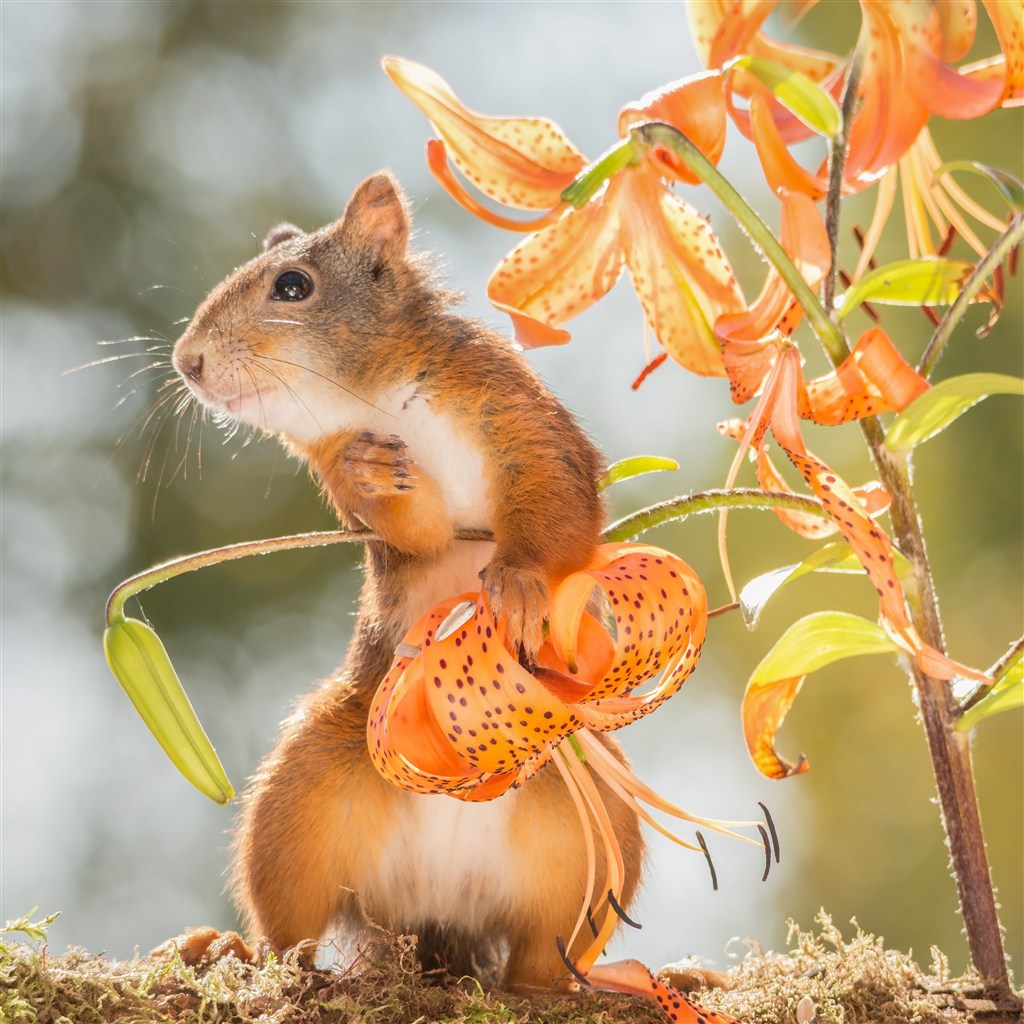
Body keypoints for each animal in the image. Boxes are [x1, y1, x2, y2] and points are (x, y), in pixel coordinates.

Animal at [171, 172, 643, 987]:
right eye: (347, 472)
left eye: (292, 285)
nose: (186, 362)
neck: (376, 395)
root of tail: (444, 903)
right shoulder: (352, 469)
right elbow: (416, 535)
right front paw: (371, 474)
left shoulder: (520, 413)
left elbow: (556, 501)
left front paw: (519, 583)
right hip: (300, 804)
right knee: (289, 939)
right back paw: (229, 950)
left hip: (593, 836)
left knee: (542, 961)